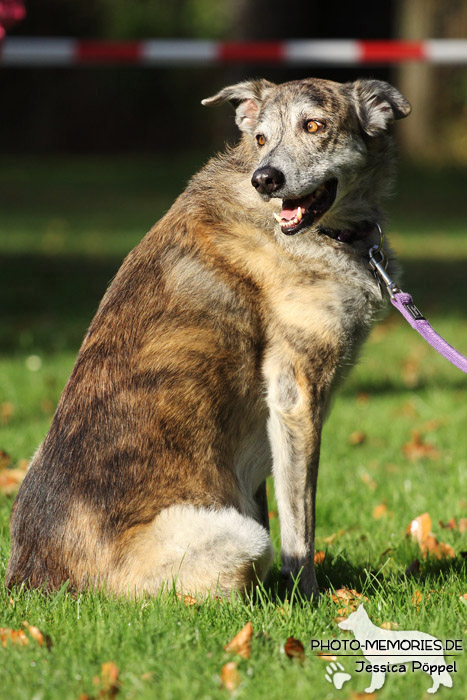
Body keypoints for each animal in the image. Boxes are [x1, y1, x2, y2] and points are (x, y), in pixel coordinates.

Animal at [5, 78, 412, 600]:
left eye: (314, 126)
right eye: (260, 138)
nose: (266, 179)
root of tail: (33, 581)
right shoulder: (296, 395)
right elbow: (300, 525)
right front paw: (308, 598)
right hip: (241, 540)